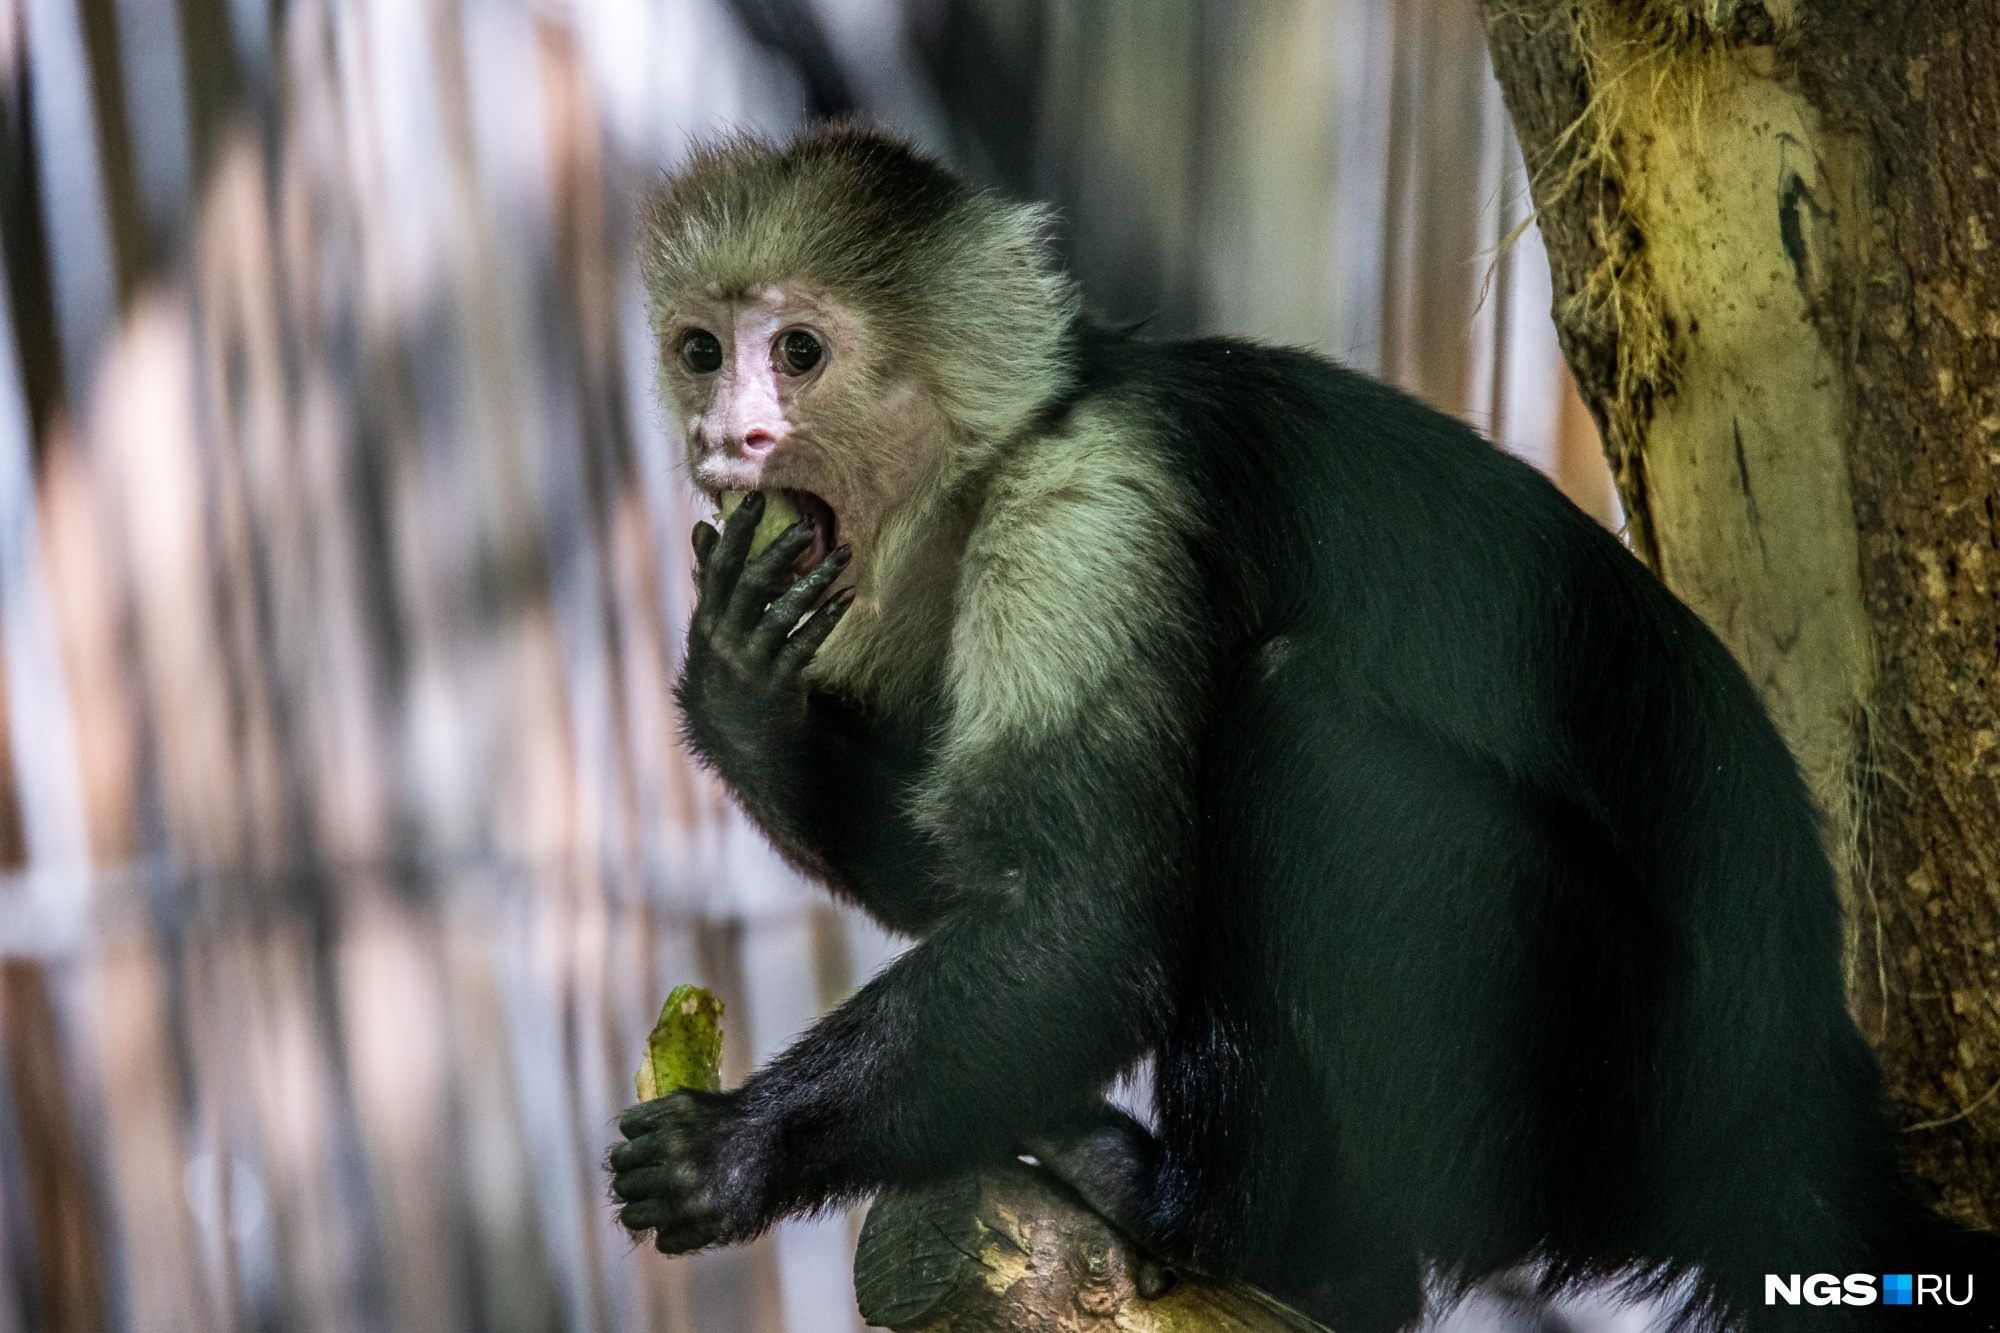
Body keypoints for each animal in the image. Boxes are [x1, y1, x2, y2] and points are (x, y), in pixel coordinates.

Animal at [612, 127, 2000, 1328]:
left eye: (798, 351)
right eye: (700, 350)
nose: (726, 430)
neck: (977, 474)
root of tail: (1792, 1103)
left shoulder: (1092, 511)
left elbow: (1089, 918)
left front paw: (741, 1145)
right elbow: (958, 871)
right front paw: (740, 696)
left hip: (1617, 1075)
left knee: (1297, 738)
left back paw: (1212, 1221)